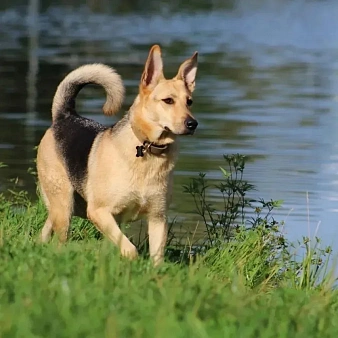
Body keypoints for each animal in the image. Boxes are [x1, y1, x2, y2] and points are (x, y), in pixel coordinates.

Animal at [37, 45, 198, 266]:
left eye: (189, 102)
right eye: (168, 101)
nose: (193, 124)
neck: (148, 149)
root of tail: (65, 115)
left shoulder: (158, 218)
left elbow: (157, 258)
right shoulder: (99, 212)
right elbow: (129, 249)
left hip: (66, 208)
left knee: (46, 229)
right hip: (65, 206)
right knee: (60, 239)